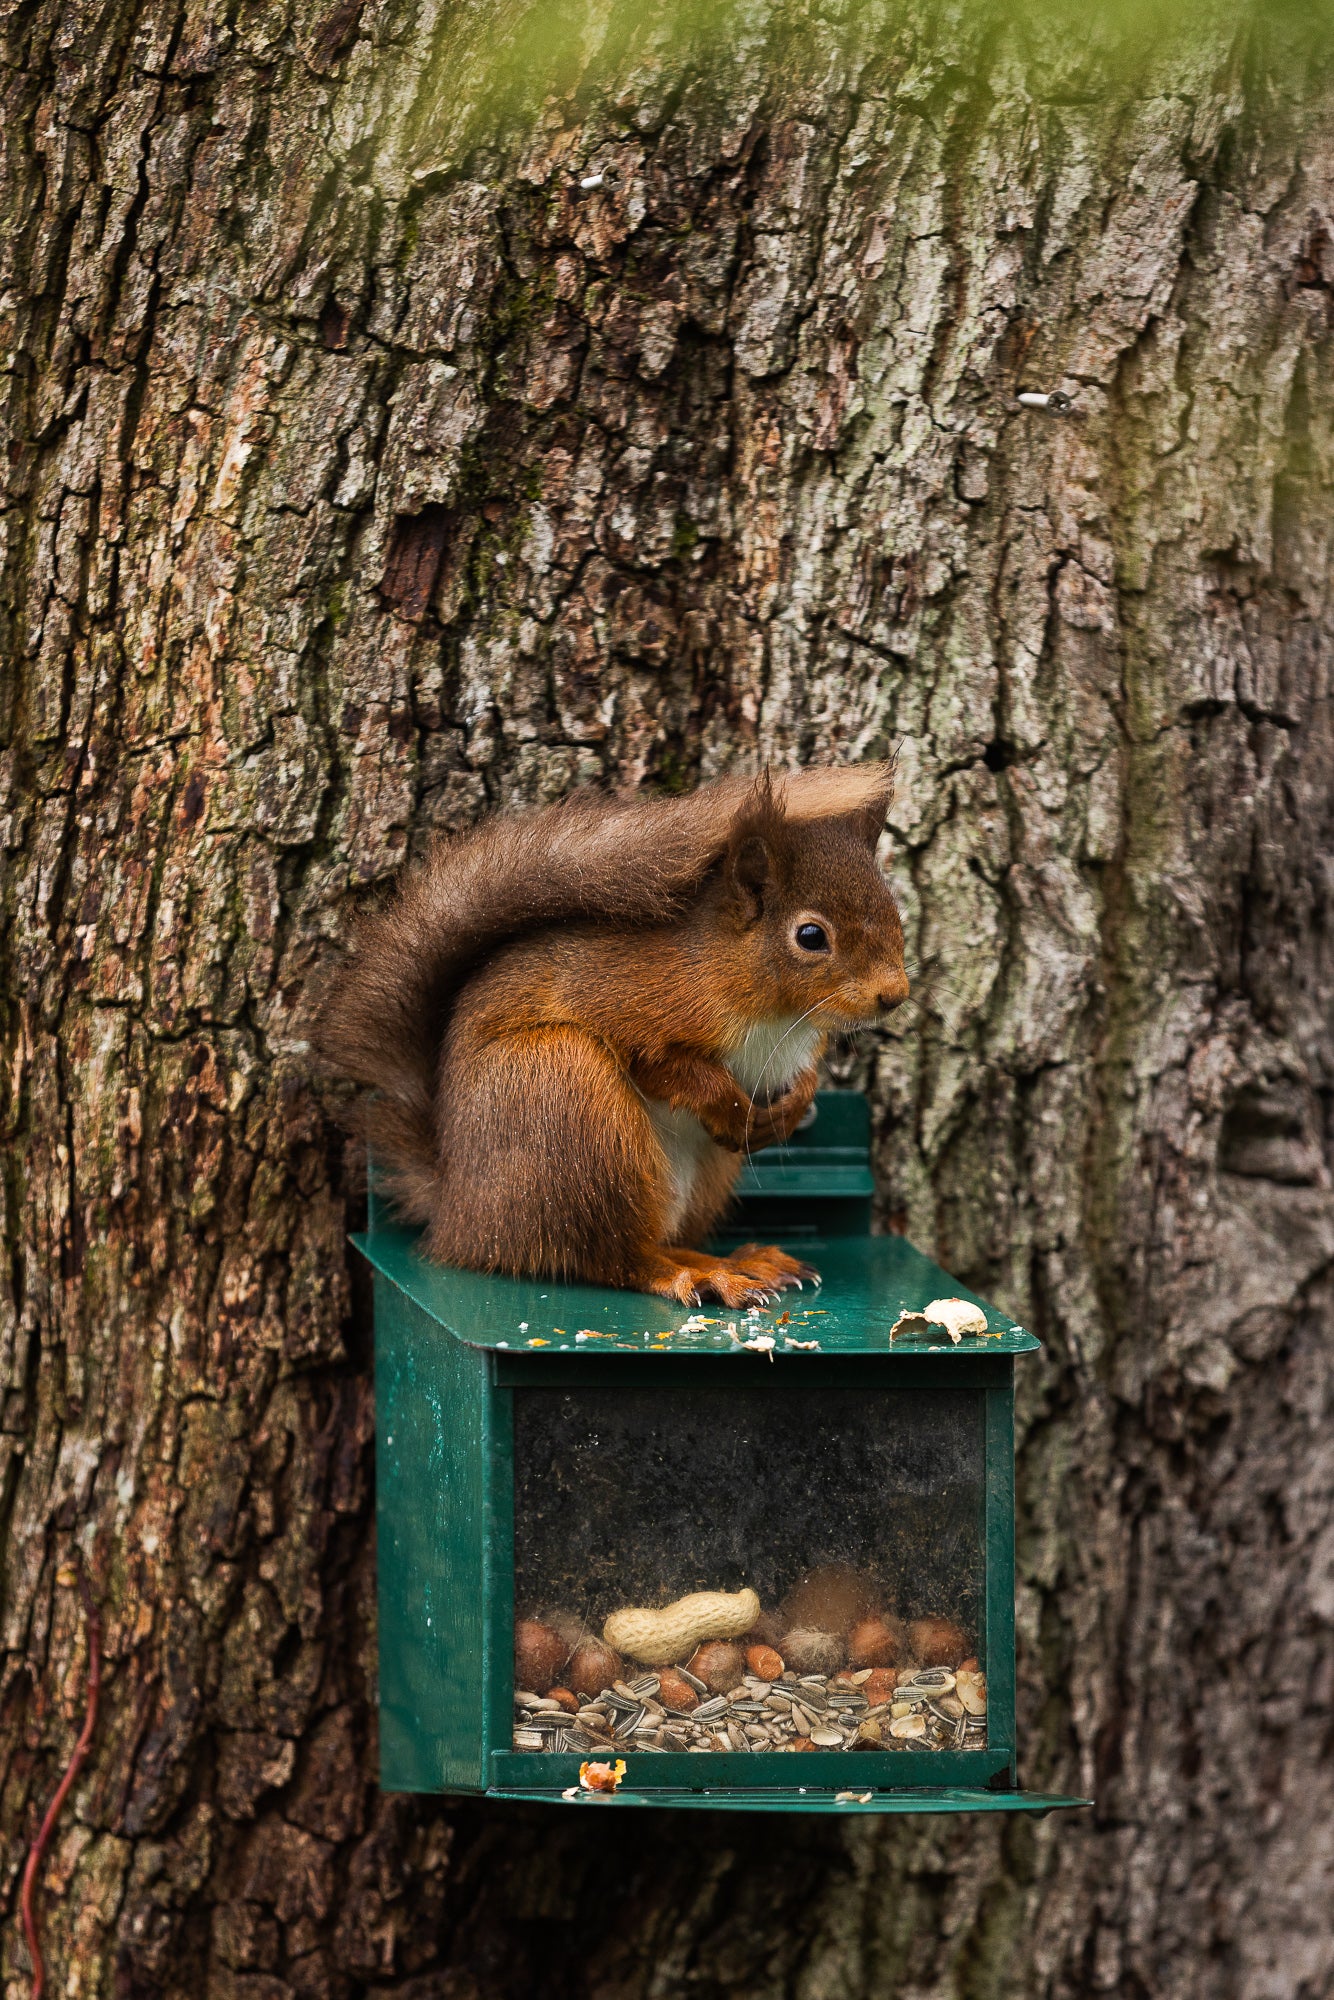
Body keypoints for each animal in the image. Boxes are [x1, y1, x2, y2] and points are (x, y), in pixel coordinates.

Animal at [319, 763, 908, 1308]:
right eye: (810, 936)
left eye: (894, 909)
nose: (895, 994)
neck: (779, 1016)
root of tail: (460, 1216)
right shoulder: (625, 1004)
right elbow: (663, 1067)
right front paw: (732, 1108)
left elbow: (804, 1076)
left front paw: (790, 1110)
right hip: (567, 1098)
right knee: (615, 1259)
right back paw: (695, 1276)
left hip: (695, 1173)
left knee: (651, 1242)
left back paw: (736, 1262)